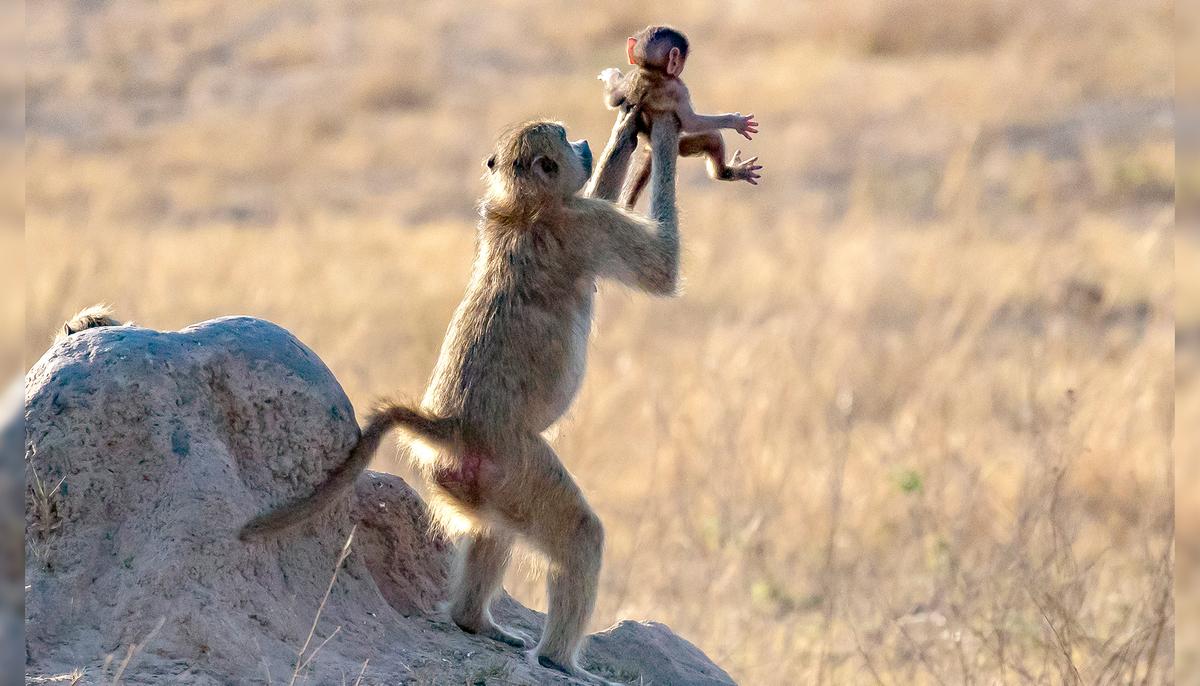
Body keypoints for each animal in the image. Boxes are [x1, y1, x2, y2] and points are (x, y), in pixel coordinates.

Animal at [239, 107, 680, 685]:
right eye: (563, 137)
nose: (584, 143)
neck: (522, 207)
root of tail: (448, 426)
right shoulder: (584, 222)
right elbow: (662, 270)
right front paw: (666, 126)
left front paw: (629, 129)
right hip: (515, 463)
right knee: (579, 535)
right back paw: (560, 662)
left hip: (482, 482)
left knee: (495, 530)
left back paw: (476, 623)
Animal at [599, 24, 763, 207]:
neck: (651, 73)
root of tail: (650, 146)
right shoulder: (680, 88)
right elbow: (691, 122)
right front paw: (736, 121)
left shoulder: (632, 77)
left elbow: (613, 99)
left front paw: (610, 77)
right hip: (681, 146)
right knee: (713, 138)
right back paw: (725, 172)